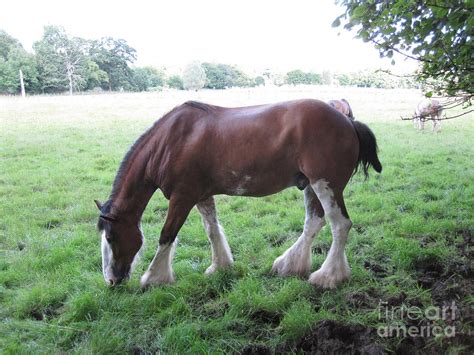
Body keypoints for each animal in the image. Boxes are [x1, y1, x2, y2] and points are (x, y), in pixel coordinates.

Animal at [95, 99, 382, 290]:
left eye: (110, 237)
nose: (111, 280)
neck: (172, 141)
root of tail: (348, 121)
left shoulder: (182, 197)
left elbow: (167, 236)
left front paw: (154, 277)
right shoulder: (200, 195)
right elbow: (212, 230)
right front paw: (220, 266)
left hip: (325, 184)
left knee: (340, 225)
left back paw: (328, 276)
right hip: (312, 185)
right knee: (314, 222)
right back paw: (289, 265)